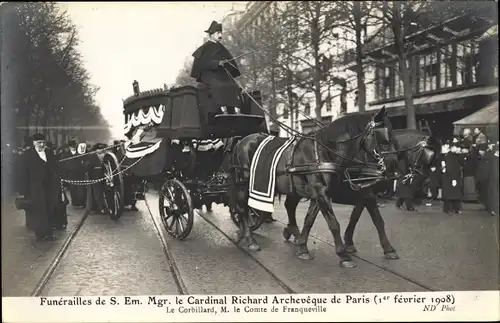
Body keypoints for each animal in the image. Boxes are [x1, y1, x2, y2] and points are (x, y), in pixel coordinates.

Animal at [229, 109, 398, 268]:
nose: (393, 166)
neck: (325, 152)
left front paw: (303, 247)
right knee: (243, 209)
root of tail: (242, 140)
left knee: (286, 207)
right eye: (384, 136)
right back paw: (250, 239)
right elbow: (334, 223)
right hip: (245, 184)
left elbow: (310, 220)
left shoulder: (323, 194)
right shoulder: (323, 192)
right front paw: (344, 255)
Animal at [284, 128, 440, 264]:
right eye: (428, 155)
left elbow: (355, 217)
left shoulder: (363, 194)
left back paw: (291, 232)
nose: (423, 182)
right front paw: (388, 249)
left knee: (290, 206)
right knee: (290, 206)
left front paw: (349, 243)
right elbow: (377, 221)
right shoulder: (367, 194)